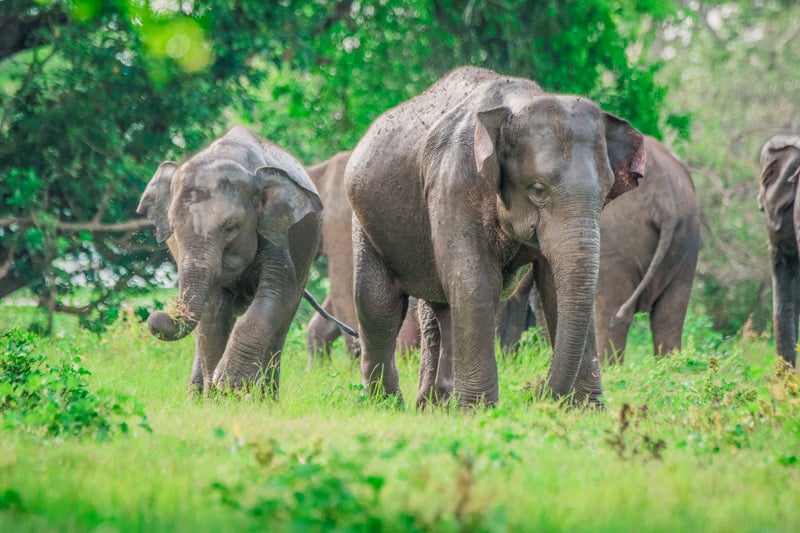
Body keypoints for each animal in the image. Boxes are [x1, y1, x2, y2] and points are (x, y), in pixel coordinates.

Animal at [137, 125, 323, 397]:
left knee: (283, 320)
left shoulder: (277, 233)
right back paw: (199, 397)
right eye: (173, 229)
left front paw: (232, 385)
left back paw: (265, 398)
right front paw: (220, 396)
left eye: (231, 227)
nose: (156, 316)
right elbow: (213, 311)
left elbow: (277, 292)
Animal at [344, 66, 645, 408]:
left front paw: (587, 409)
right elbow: (475, 281)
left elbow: (553, 286)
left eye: (605, 192)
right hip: (365, 222)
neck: (518, 103)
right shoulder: (453, 182)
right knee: (378, 304)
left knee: (438, 307)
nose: (537, 393)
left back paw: (434, 405)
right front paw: (478, 410)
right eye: (537, 189)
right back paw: (387, 404)